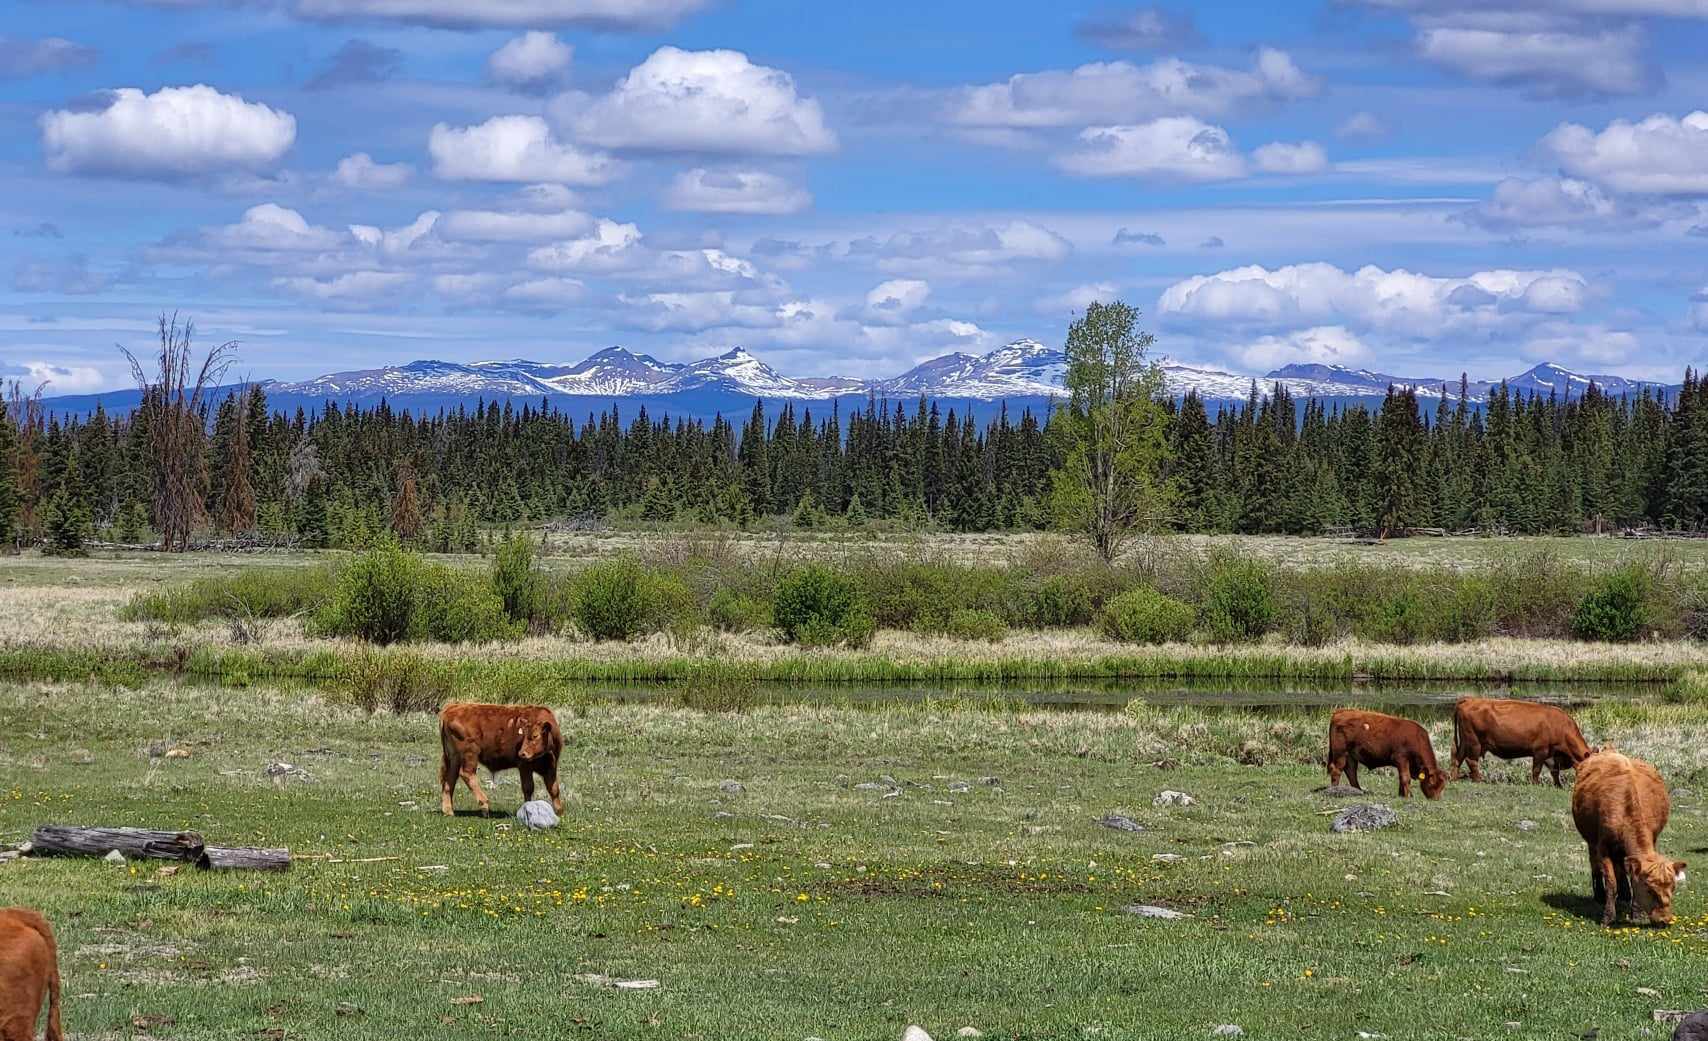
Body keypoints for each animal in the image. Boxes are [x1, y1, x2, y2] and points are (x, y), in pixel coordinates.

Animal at [1451, 697, 1593, 788]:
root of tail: (1469, 699)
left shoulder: (1552, 754)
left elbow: (1555, 772)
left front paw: (1558, 786)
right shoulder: (1540, 751)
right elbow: (1536, 770)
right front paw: (1535, 784)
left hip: (1465, 741)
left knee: (1457, 758)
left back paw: (1454, 778)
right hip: (1474, 742)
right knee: (1471, 760)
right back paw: (1478, 779)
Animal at [1572, 750, 1686, 927]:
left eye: (1673, 888)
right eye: (1650, 890)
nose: (1665, 920)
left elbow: (1631, 876)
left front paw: (1636, 914)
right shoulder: (1603, 847)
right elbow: (1611, 882)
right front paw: (1608, 916)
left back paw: (1625, 895)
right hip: (1591, 841)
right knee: (1595, 864)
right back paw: (1599, 895)